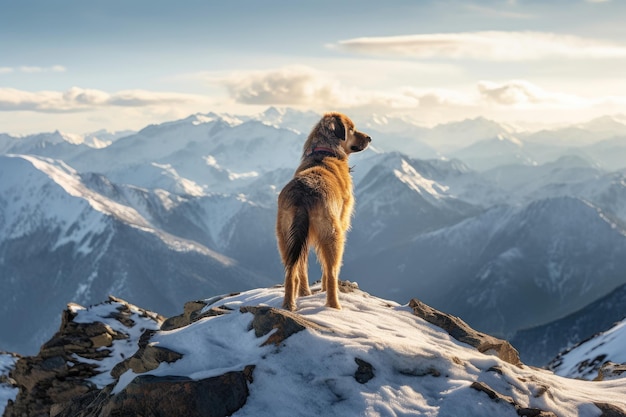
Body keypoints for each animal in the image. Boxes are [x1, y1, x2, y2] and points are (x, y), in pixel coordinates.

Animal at [274, 111, 370, 308]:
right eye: (352, 129)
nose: (369, 138)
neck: (325, 152)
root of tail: (303, 195)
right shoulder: (341, 222)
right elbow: (327, 270)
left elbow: (302, 269)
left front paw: (304, 294)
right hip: (333, 234)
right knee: (332, 271)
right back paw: (334, 306)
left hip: (285, 236)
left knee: (292, 271)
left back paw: (289, 304)